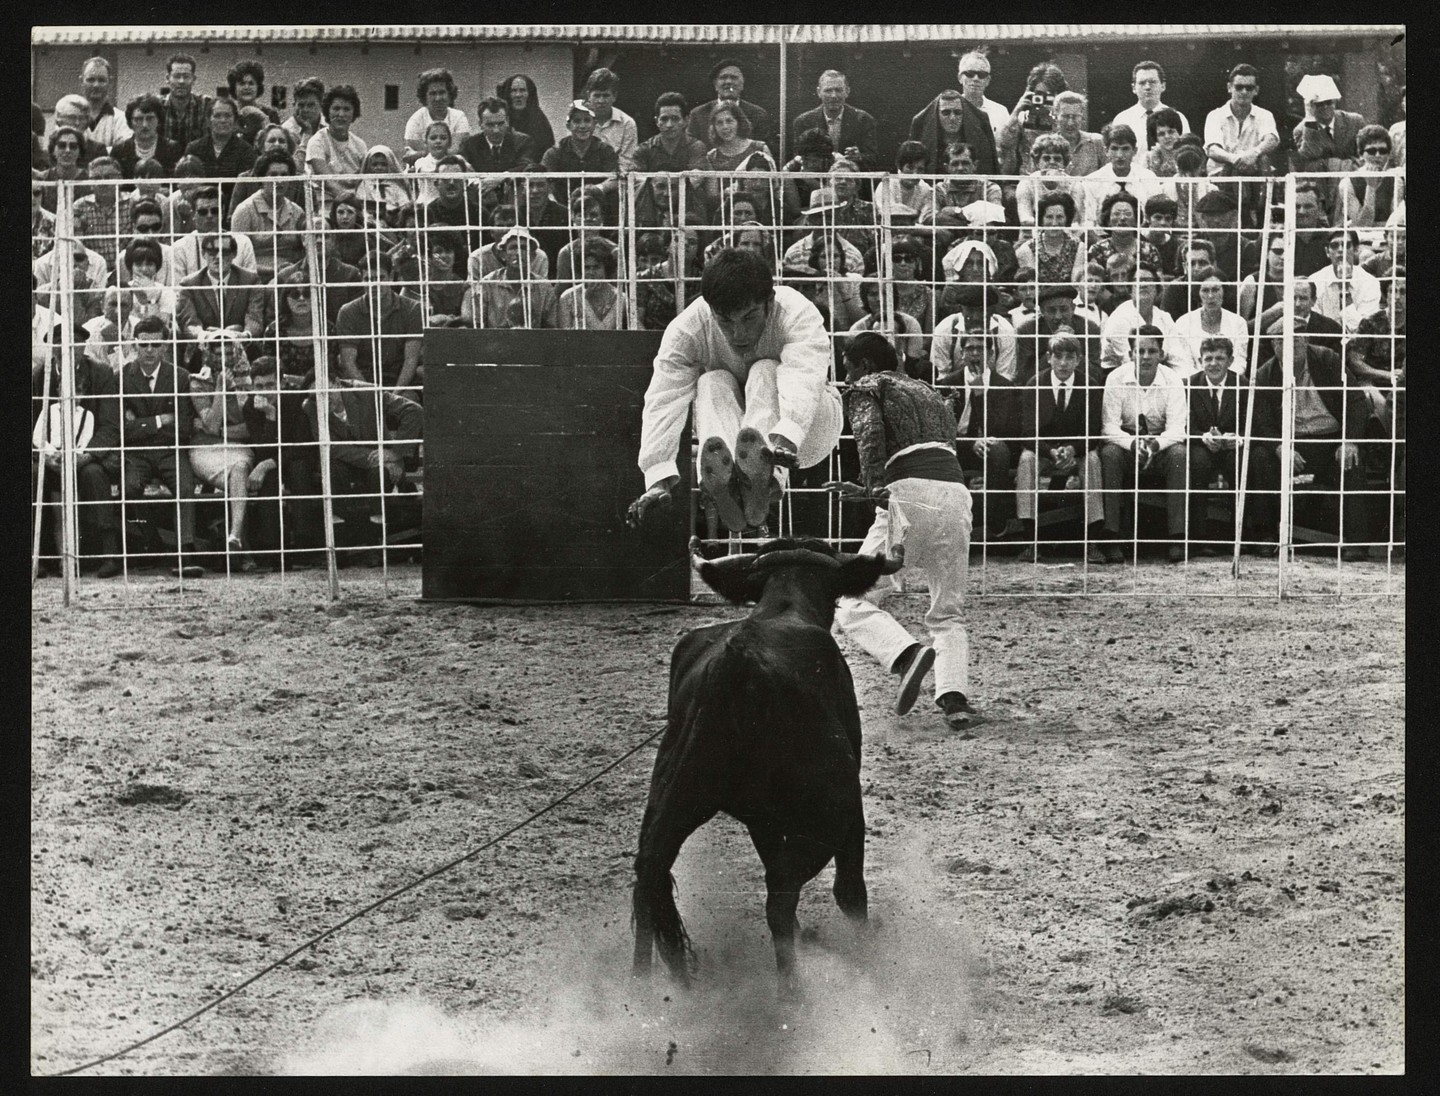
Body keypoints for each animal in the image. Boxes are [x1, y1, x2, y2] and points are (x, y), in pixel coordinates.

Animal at [630, 535, 898, 996]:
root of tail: (734, 667)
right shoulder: (846, 812)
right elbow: (849, 890)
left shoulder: (764, 819)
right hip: (829, 816)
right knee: (783, 894)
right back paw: (793, 992)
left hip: (672, 800)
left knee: (649, 877)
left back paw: (638, 991)